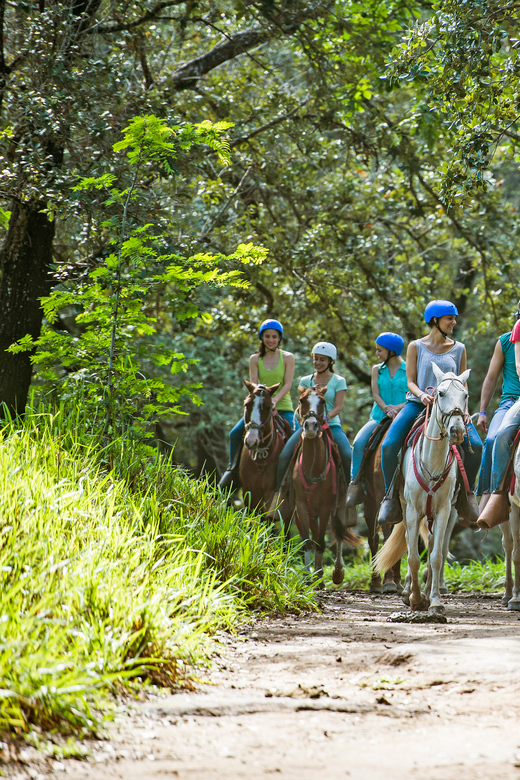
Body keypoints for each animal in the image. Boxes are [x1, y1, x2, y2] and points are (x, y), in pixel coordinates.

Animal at [238, 380, 290, 516]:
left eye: (268, 407)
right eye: (247, 405)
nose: (251, 441)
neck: (260, 460)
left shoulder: (270, 493)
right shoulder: (249, 492)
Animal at [290, 388, 360, 584]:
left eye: (322, 402)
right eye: (301, 400)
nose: (311, 426)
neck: (313, 468)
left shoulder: (326, 507)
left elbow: (321, 542)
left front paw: (319, 579)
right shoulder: (301, 506)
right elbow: (308, 543)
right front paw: (307, 579)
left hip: (338, 508)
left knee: (339, 533)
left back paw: (337, 572)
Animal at [362, 436, 402, 596]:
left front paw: (395, 582)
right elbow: (386, 540)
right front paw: (388, 582)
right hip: (371, 506)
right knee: (373, 540)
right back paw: (376, 583)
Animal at [374, 366, 472, 616]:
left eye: (465, 396)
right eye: (440, 393)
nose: (457, 430)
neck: (433, 462)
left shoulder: (444, 511)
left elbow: (435, 556)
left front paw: (434, 601)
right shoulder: (412, 511)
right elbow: (413, 557)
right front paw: (415, 599)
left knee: (431, 546)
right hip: (406, 509)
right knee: (411, 545)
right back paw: (409, 590)